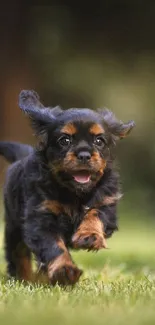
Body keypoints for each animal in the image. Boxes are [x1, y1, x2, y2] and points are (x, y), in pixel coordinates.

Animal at [0, 90, 135, 284]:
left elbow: (94, 214)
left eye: (99, 141)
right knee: (18, 255)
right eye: (65, 140)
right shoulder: (40, 218)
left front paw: (89, 235)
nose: (84, 155)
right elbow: (54, 246)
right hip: (14, 226)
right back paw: (26, 279)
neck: (75, 193)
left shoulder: (106, 203)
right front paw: (64, 270)